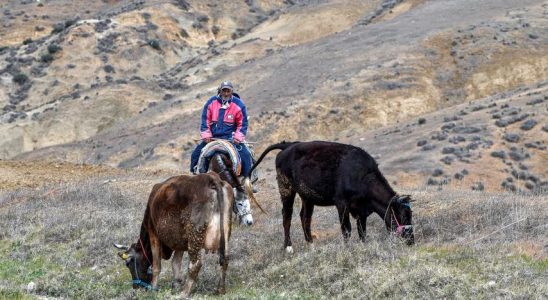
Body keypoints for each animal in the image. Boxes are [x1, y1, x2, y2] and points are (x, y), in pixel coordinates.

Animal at [250, 140, 414, 251]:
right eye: (402, 216)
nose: (411, 240)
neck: (363, 176)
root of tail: (289, 145)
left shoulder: (361, 209)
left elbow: (362, 231)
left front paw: (363, 246)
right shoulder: (341, 203)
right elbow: (346, 229)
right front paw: (348, 248)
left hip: (307, 197)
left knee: (305, 217)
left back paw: (311, 244)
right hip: (286, 189)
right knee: (287, 216)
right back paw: (288, 247)